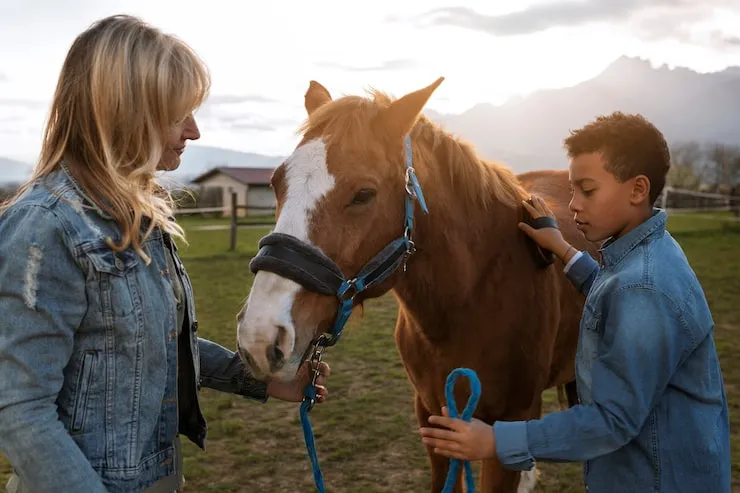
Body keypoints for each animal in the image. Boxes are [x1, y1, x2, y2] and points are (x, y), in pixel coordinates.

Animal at [236, 77, 599, 492]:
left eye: (364, 194)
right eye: (276, 183)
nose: (259, 338)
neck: (469, 299)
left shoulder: (510, 420)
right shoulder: (432, 415)